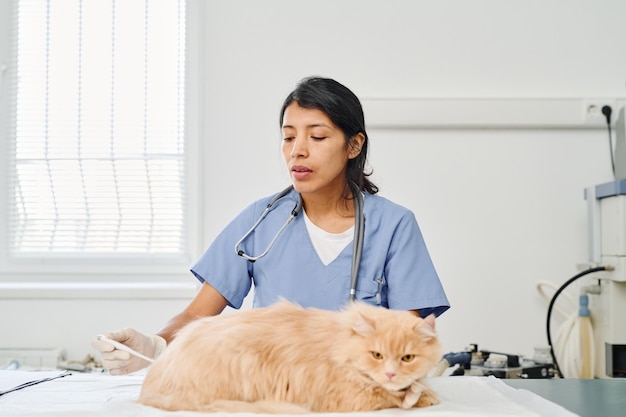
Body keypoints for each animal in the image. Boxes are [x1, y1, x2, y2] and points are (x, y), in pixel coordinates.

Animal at [138, 300, 438, 412]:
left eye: (407, 358)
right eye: (377, 355)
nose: (390, 373)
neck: (339, 343)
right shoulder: (347, 397)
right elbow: (389, 396)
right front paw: (420, 396)